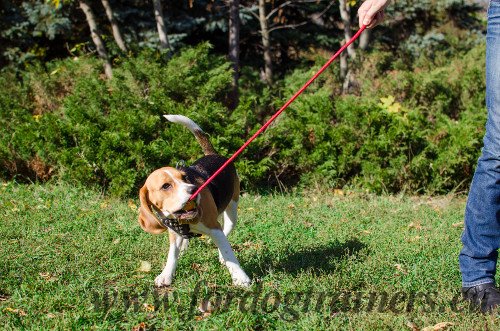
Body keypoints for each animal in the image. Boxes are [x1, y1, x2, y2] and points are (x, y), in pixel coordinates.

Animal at [139, 115, 252, 288]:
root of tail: (213, 154)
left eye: (185, 177)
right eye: (166, 186)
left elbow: (228, 252)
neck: (183, 220)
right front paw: (166, 274)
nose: (194, 190)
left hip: (232, 210)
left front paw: (240, 277)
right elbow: (172, 254)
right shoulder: (173, 233)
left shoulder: (214, 227)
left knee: (226, 230)